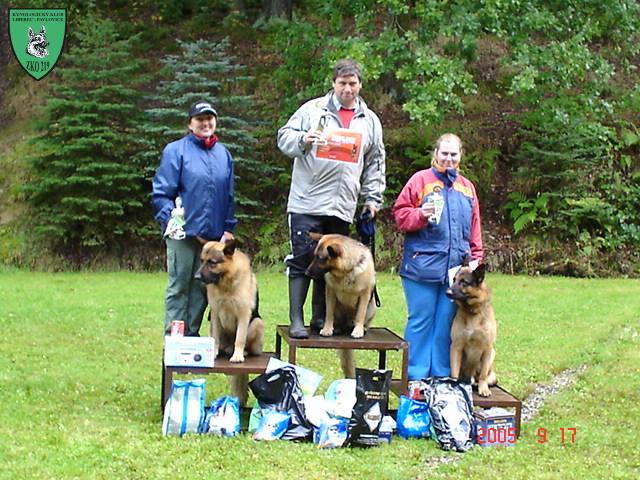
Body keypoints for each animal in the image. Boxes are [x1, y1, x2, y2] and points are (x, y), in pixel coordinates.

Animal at [195, 240, 264, 405]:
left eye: (212, 262)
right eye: (201, 261)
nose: (196, 277)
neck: (226, 281)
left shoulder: (244, 315)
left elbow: (239, 339)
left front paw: (237, 355)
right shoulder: (214, 314)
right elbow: (215, 338)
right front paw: (213, 352)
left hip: (257, 323)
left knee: (246, 344)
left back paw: (242, 351)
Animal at [306, 233, 377, 377]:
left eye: (320, 259)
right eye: (314, 256)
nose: (306, 273)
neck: (347, 270)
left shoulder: (365, 294)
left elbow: (360, 315)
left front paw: (358, 330)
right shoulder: (330, 292)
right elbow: (329, 314)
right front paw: (327, 329)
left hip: (372, 306)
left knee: (363, 319)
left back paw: (362, 327)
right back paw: (337, 327)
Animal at [446, 261, 497, 397]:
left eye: (464, 282)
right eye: (454, 280)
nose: (447, 292)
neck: (472, 312)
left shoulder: (487, 348)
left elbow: (483, 375)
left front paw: (483, 389)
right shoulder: (456, 346)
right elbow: (454, 373)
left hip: (492, 357)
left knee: (483, 377)